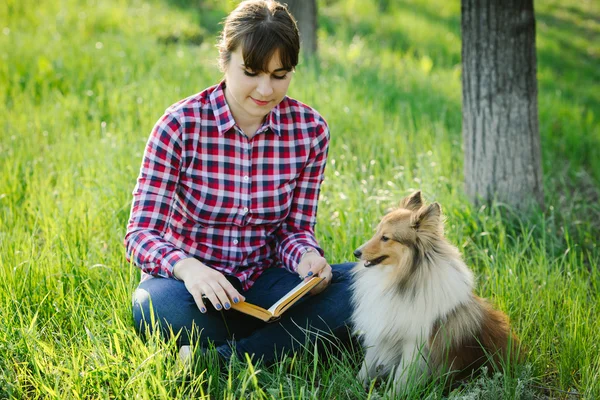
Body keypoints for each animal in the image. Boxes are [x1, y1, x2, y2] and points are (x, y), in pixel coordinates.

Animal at [352, 191, 520, 390]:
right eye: (376, 232)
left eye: (385, 237)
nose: (356, 252)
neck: (399, 278)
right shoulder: (379, 333)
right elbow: (365, 367)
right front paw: (353, 387)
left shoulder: (414, 343)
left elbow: (401, 378)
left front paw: (392, 393)